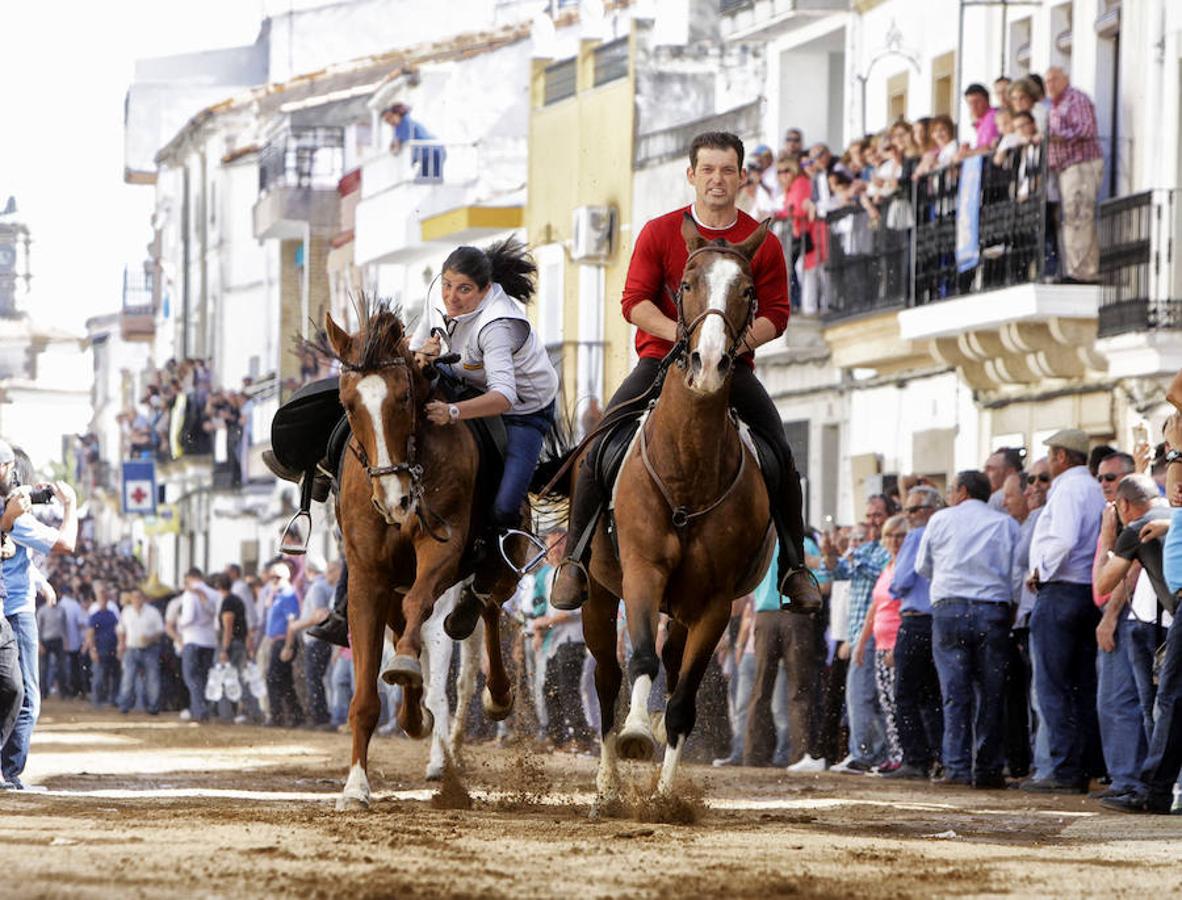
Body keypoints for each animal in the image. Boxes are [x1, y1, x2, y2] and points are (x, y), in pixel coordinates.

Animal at [323, 305, 527, 808]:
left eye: (403, 398)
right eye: (349, 403)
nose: (393, 499)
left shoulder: (442, 550)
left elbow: (425, 617)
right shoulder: (368, 578)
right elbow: (366, 695)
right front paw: (355, 787)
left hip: (498, 563)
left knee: (485, 607)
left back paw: (493, 694)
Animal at [579, 217, 775, 808]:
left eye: (748, 290)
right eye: (685, 284)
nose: (708, 363)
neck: (688, 466)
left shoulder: (715, 604)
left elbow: (685, 700)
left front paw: (666, 794)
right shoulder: (644, 571)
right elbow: (639, 660)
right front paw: (636, 735)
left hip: (685, 610)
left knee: (670, 665)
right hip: (598, 595)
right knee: (607, 677)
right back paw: (608, 783)